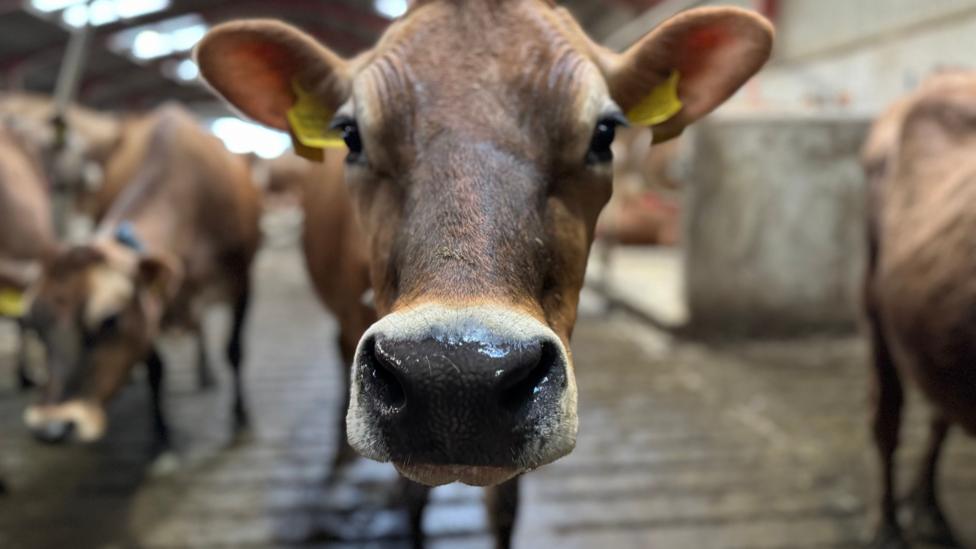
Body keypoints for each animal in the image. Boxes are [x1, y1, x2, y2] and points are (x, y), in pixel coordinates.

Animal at [22, 104, 261, 448]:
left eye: (109, 319)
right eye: (32, 323)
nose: (49, 427)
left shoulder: (242, 282)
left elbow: (235, 350)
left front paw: (240, 416)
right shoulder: (150, 308)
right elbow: (155, 370)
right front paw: (161, 434)